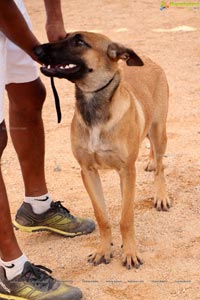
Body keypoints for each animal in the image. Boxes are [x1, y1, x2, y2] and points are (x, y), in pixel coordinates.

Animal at [34, 32, 170, 270]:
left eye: (79, 42)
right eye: (64, 36)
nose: (37, 49)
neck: (94, 108)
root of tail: (149, 60)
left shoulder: (127, 171)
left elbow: (126, 219)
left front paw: (130, 252)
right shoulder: (88, 172)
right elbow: (102, 217)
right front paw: (103, 250)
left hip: (158, 131)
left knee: (160, 166)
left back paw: (161, 194)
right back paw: (151, 161)